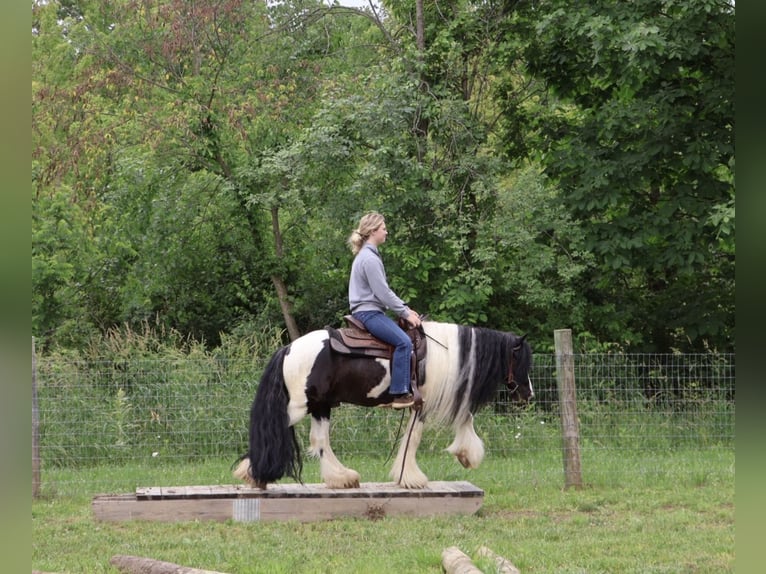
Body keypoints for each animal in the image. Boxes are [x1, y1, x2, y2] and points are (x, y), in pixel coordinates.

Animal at [232, 320, 533, 489]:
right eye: (520, 360)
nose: (529, 394)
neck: (444, 351)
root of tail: (289, 349)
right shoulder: (423, 403)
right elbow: (416, 439)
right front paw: (412, 477)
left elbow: (463, 419)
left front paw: (465, 455)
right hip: (299, 406)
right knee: (272, 430)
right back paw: (254, 473)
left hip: (321, 406)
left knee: (319, 441)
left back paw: (342, 478)